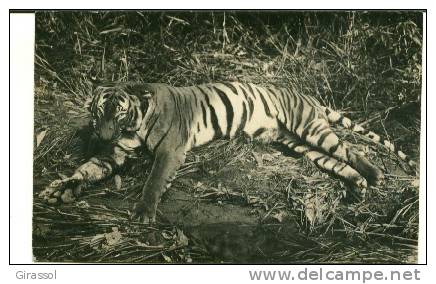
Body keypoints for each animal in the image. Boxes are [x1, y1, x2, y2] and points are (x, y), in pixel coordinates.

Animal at [39, 81, 418, 223]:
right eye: (97, 112)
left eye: (117, 113)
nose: (100, 134)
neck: (135, 122)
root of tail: (308, 96)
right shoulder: (115, 153)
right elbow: (86, 169)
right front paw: (59, 189)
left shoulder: (171, 151)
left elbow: (153, 181)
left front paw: (144, 213)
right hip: (298, 145)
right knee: (337, 162)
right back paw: (359, 186)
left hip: (309, 128)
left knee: (349, 148)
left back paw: (375, 174)